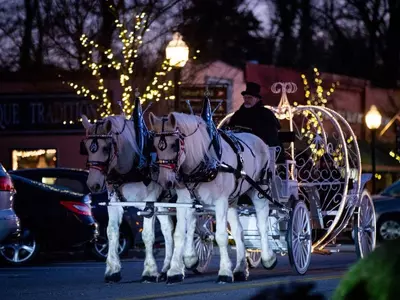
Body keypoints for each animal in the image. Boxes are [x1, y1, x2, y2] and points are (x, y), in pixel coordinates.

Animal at [81, 113, 173, 282]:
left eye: (105, 148)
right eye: (87, 147)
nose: (93, 184)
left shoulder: (148, 205)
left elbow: (147, 235)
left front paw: (149, 271)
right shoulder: (114, 203)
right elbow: (112, 232)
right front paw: (113, 270)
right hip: (163, 204)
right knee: (168, 229)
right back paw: (167, 268)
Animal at [148, 112, 276, 284]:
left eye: (175, 144)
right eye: (155, 146)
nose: (165, 181)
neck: (204, 163)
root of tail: (257, 138)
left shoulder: (220, 202)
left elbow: (221, 236)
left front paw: (225, 272)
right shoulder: (184, 202)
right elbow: (179, 234)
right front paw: (175, 271)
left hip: (259, 191)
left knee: (262, 224)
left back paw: (268, 258)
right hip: (232, 200)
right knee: (238, 231)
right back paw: (240, 269)